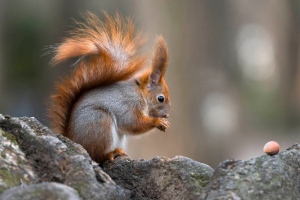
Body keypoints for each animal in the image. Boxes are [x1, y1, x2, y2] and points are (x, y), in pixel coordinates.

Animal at [49, 11, 171, 163]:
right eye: (161, 98)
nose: (167, 115)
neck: (140, 92)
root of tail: (73, 139)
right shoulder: (129, 104)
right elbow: (132, 123)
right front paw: (158, 122)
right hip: (100, 123)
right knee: (96, 154)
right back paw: (111, 153)